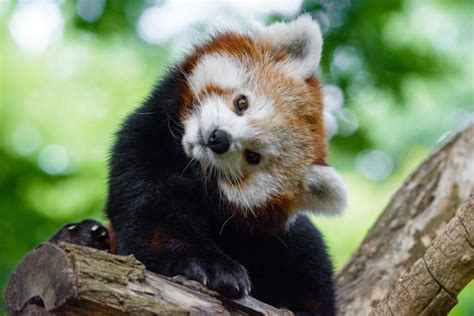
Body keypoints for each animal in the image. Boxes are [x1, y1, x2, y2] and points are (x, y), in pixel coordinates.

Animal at [51, 15, 348, 316]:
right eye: (242, 103)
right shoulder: (142, 147)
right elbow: (153, 217)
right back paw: (81, 235)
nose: (219, 139)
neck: (187, 166)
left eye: (254, 156)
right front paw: (213, 266)